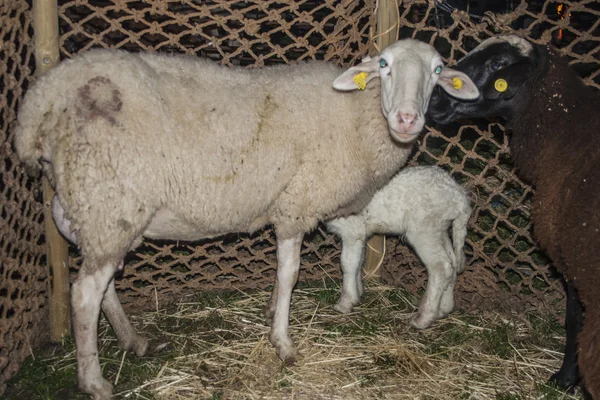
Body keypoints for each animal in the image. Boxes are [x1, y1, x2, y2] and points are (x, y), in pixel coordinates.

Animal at [326, 165, 472, 328]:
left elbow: (348, 264)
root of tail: (459, 197)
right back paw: (444, 308)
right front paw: (358, 294)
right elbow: (358, 262)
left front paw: (345, 303)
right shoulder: (360, 232)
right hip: (440, 230)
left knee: (441, 267)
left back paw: (423, 318)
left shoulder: (351, 230)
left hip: (424, 229)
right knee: (452, 264)